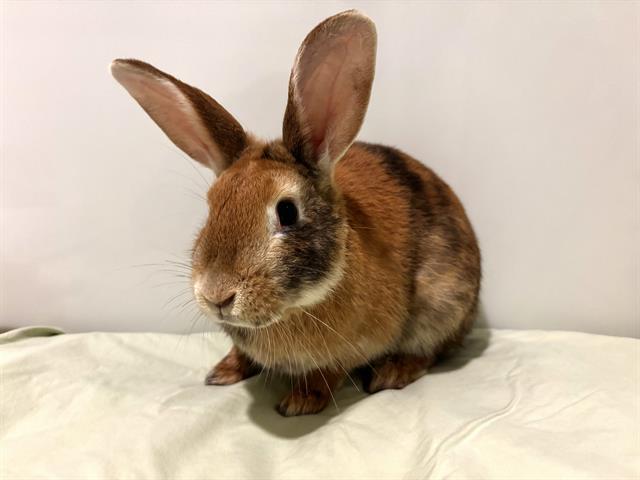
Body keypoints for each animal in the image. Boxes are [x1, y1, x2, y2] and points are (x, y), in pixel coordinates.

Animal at [111, 10, 481, 416]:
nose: (216, 296)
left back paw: (391, 372)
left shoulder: (348, 350)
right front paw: (222, 372)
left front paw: (300, 402)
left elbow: (327, 374)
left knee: (431, 349)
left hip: (442, 302)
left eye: (287, 212)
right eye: (211, 206)